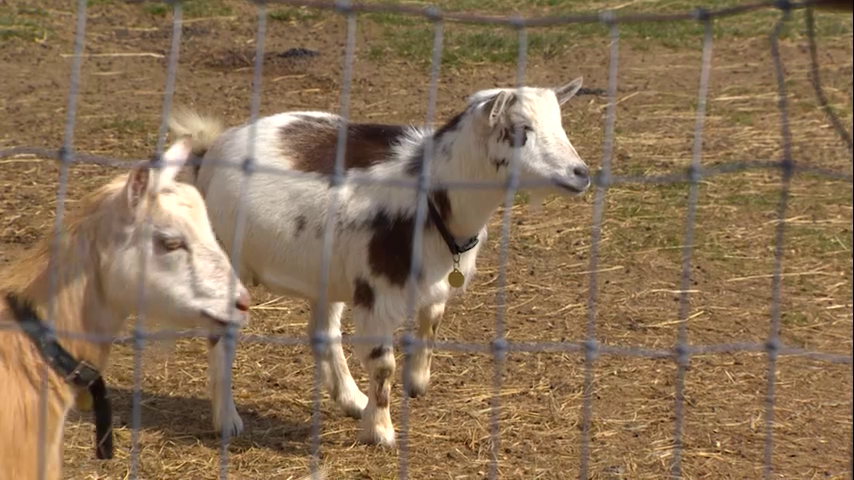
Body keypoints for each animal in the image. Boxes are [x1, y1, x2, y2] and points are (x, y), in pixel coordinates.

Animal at [169, 77, 591, 447]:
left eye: (560, 123)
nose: (581, 173)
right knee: (221, 336)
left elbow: (431, 324)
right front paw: (381, 432)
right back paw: (228, 420)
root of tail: (213, 151)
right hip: (230, 261)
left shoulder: (431, 282)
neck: (432, 195)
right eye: (520, 130)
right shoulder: (377, 293)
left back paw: (352, 400)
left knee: (323, 332)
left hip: (325, 274)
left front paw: (416, 382)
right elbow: (382, 363)